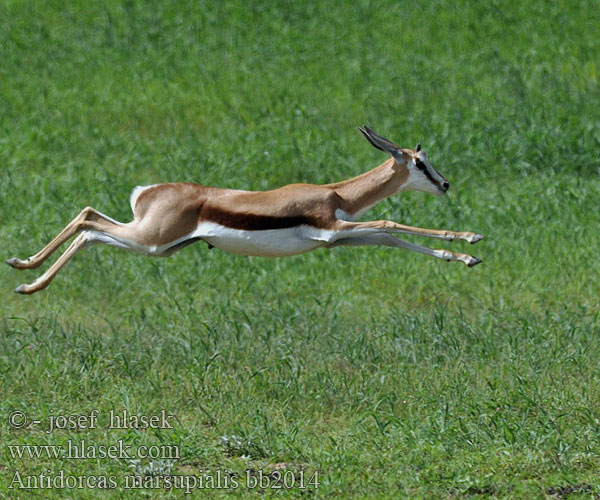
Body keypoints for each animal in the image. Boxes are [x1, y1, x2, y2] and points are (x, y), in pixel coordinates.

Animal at [5, 127, 482, 294]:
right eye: (420, 163)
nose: (445, 184)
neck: (336, 194)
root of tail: (147, 191)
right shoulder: (331, 228)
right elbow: (389, 221)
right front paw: (472, 237)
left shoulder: (340, 237)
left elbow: (389, 237)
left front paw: (466, 256)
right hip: (150, 241)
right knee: (88, 224)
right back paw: (27, 283)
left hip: (158, 245)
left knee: (88, 219)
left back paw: (22, 268)